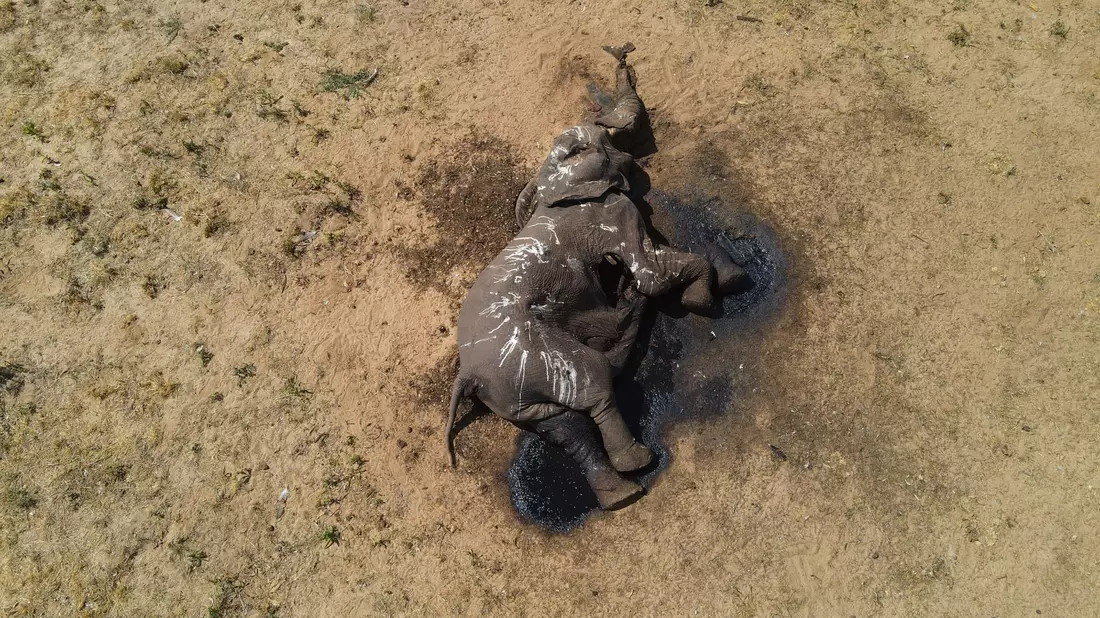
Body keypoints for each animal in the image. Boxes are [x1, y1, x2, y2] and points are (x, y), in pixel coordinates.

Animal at [446, 45, 747, 511]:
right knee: (593, 380)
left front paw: (726, 280)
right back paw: (637, 466)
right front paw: (702, 300)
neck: (548, 181)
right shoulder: (607, 214)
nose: (622, 54)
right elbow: (651, 271)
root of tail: (469, 375)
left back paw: (620, 494)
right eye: (601, 141)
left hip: (513, 391)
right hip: (535, 354)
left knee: (565, 426)